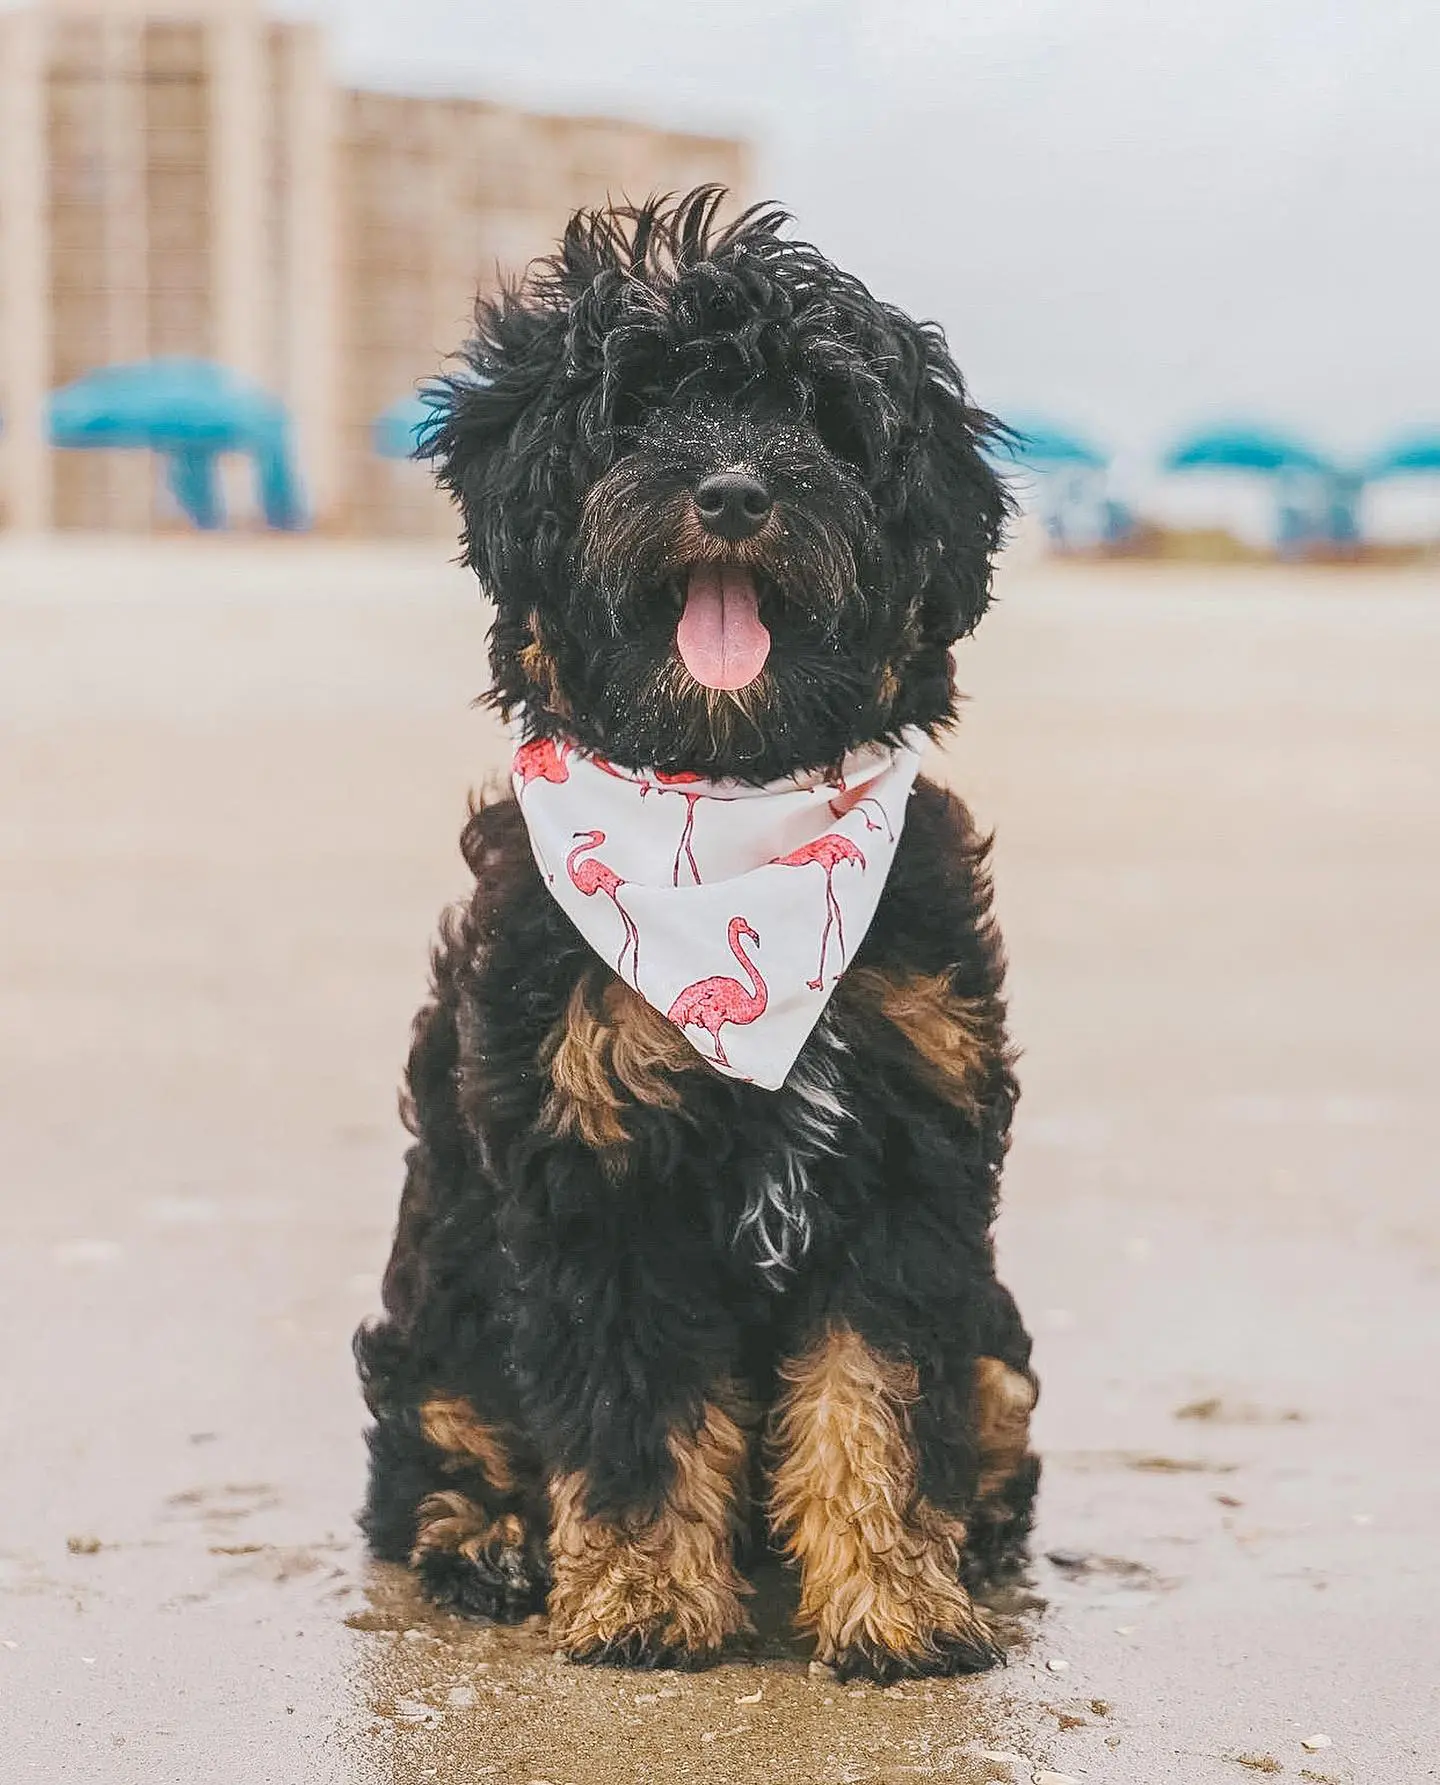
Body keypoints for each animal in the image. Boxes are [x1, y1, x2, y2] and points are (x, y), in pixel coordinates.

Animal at [355, 188, 1042, 1677]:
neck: (730, 794)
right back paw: (492, 1543)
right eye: (640, 411)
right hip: (437, 1320)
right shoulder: (596, 1168)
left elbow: (876, 1400)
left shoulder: (907, 1161)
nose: (731, 492)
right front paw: (643, 1597)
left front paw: (894, 1597)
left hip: (1003, 1346)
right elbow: (638, 1413)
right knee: (436, 1451)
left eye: (825, 419)